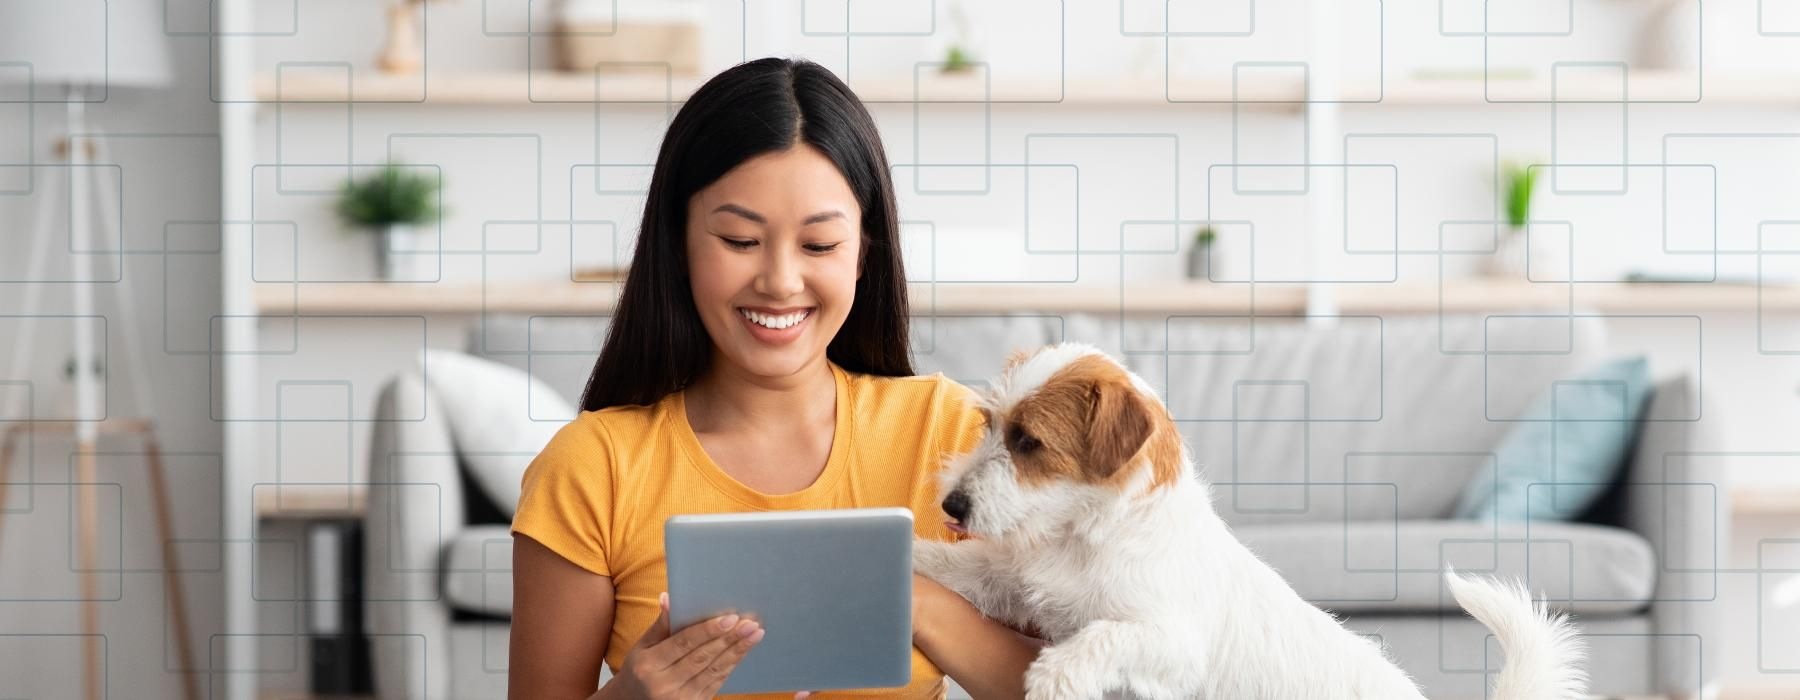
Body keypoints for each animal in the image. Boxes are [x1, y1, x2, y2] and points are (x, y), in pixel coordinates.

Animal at [914, 343, 1591, 698]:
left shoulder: (1169, 640)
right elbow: (955, 566)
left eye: (1029, 442)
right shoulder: (1015, 583)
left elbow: (1106, 636)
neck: (1082, 538)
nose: (952, 506)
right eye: (989, 425)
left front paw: (1055, 675)